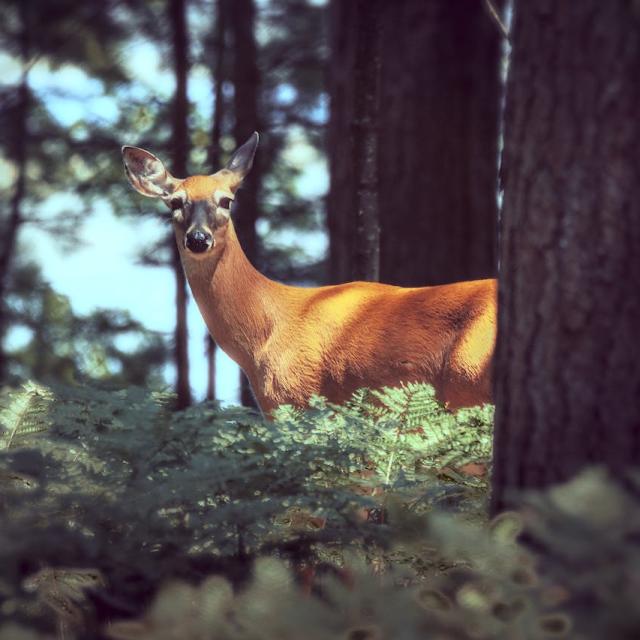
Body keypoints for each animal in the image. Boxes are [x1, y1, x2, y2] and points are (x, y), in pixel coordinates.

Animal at [122, 134, 498, 416]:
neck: (264, 334)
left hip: (469, 382)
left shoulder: (298, 398)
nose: (198, 238)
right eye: (175, 202)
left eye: (226, 200)